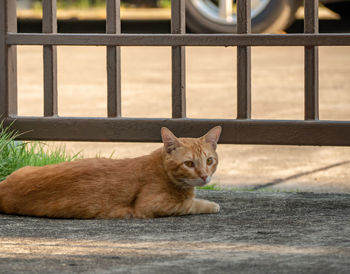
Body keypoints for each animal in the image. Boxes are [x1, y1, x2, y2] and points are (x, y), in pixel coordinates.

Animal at [0, 126, 221, 218]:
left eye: (209, 161)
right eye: (189, 164)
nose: (204, 176)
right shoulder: (152, 206)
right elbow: (191, 204)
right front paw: (211, 205)